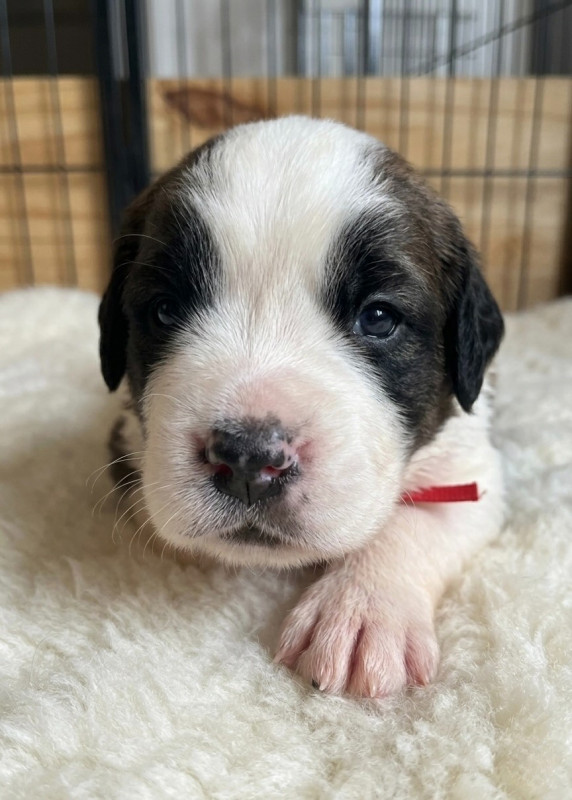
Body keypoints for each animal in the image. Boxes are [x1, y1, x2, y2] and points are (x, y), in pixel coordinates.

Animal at [99, 116, 505, 698]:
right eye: (165, 310)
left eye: (378, 317)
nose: (248, 458)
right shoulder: (128, 438)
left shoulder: (471, 466)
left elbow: (419, 520)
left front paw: (362, 608)